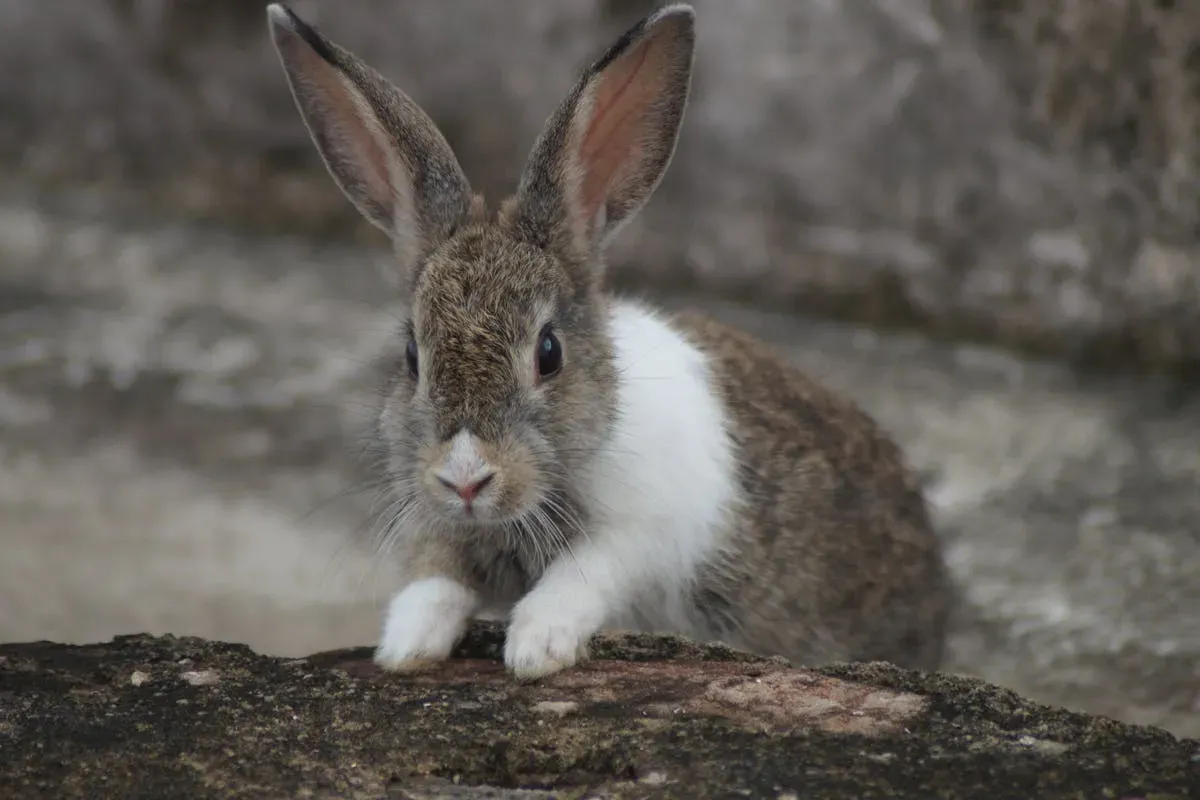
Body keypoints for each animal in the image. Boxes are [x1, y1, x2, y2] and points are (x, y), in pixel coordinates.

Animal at [266, 1, 952, 680]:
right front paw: (406, 647)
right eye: (413, 356)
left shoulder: (641, 531)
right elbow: (434, 579)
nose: (465, 480)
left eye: (548, 353)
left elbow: (584, 573)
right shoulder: (439, 525)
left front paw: (536, 648)